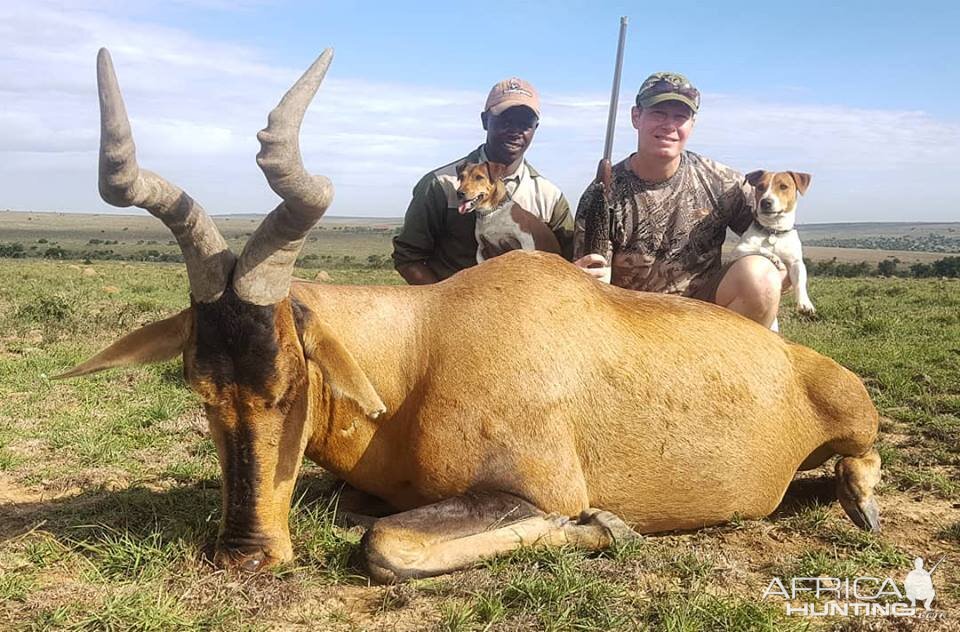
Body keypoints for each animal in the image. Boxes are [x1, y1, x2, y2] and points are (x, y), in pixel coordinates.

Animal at [732, 170, 812, 316]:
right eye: (760, 187)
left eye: (783, 186)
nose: (766, 202)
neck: (774, 230)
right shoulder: (739, 250)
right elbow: (760, 248)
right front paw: (774, 257)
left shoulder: (796, 262)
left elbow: (800, 281)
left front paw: (805, 303)